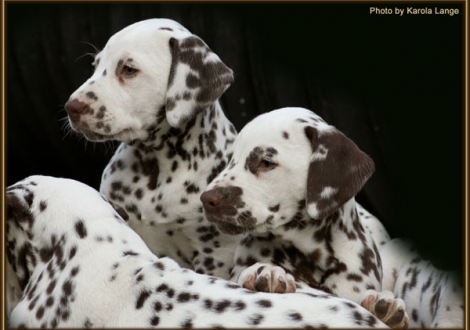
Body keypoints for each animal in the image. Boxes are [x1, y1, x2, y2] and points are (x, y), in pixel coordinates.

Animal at [200, 107, 410, 328]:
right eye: (231, 160)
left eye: (266, 162)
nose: (206, 199)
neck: (312, 256)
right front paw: (266, 273)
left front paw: (383, 307)